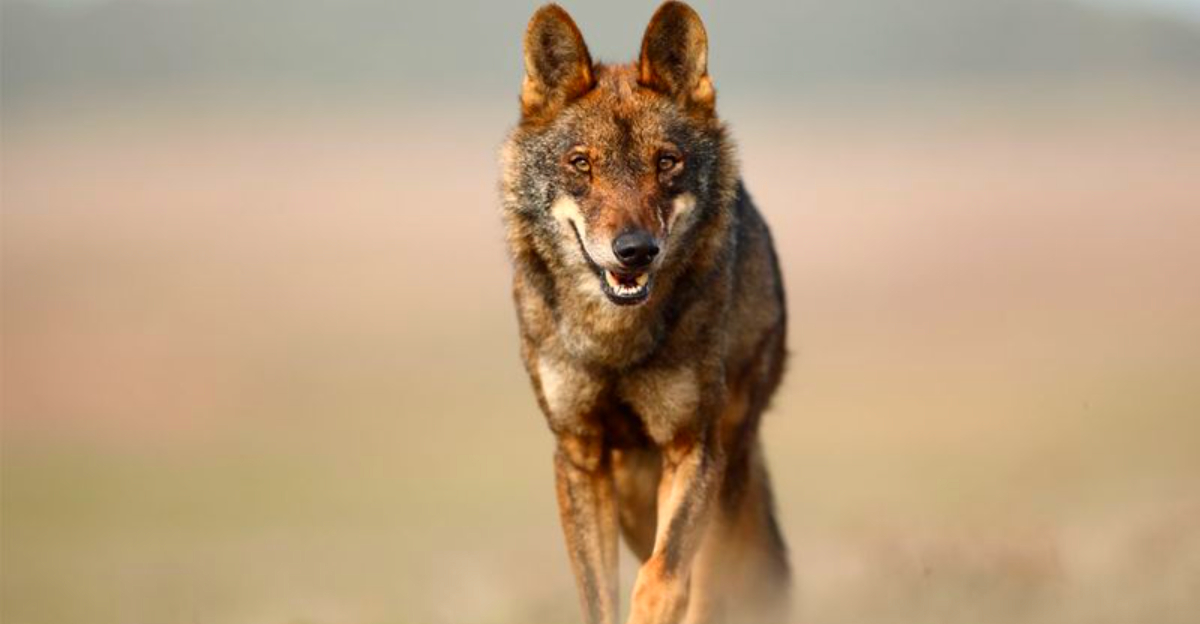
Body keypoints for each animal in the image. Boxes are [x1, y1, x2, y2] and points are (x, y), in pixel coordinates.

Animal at [500, 3, 790, 623]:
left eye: (666, 162)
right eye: (581, 164)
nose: (634, 250)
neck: (615, 343)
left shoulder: (693, 446)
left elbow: (664, 578)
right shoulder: (579, 456)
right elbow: (599, 594)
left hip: (726, 464)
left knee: (712, 580)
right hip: (633, 487)